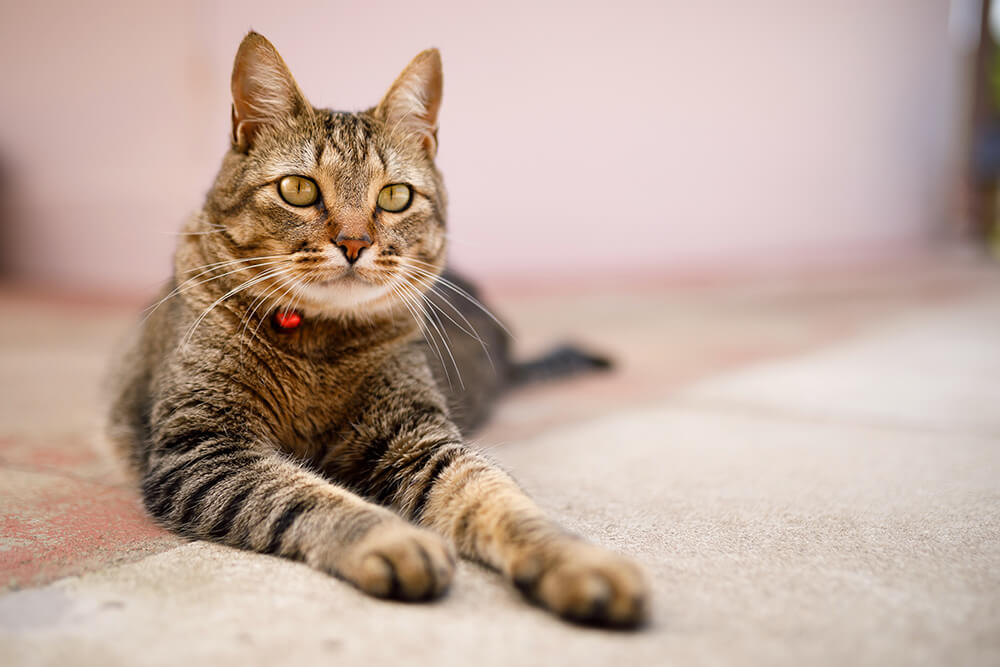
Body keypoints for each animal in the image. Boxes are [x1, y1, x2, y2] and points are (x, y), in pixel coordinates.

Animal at [107, 30, 648, 628]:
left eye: (394, 196)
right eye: (298, 189)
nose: (353, 243)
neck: (319, 344)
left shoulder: (416, 438)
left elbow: (494, 494)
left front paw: (575, 561)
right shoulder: (204, 448)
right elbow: (304, 494)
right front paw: (393, 540)